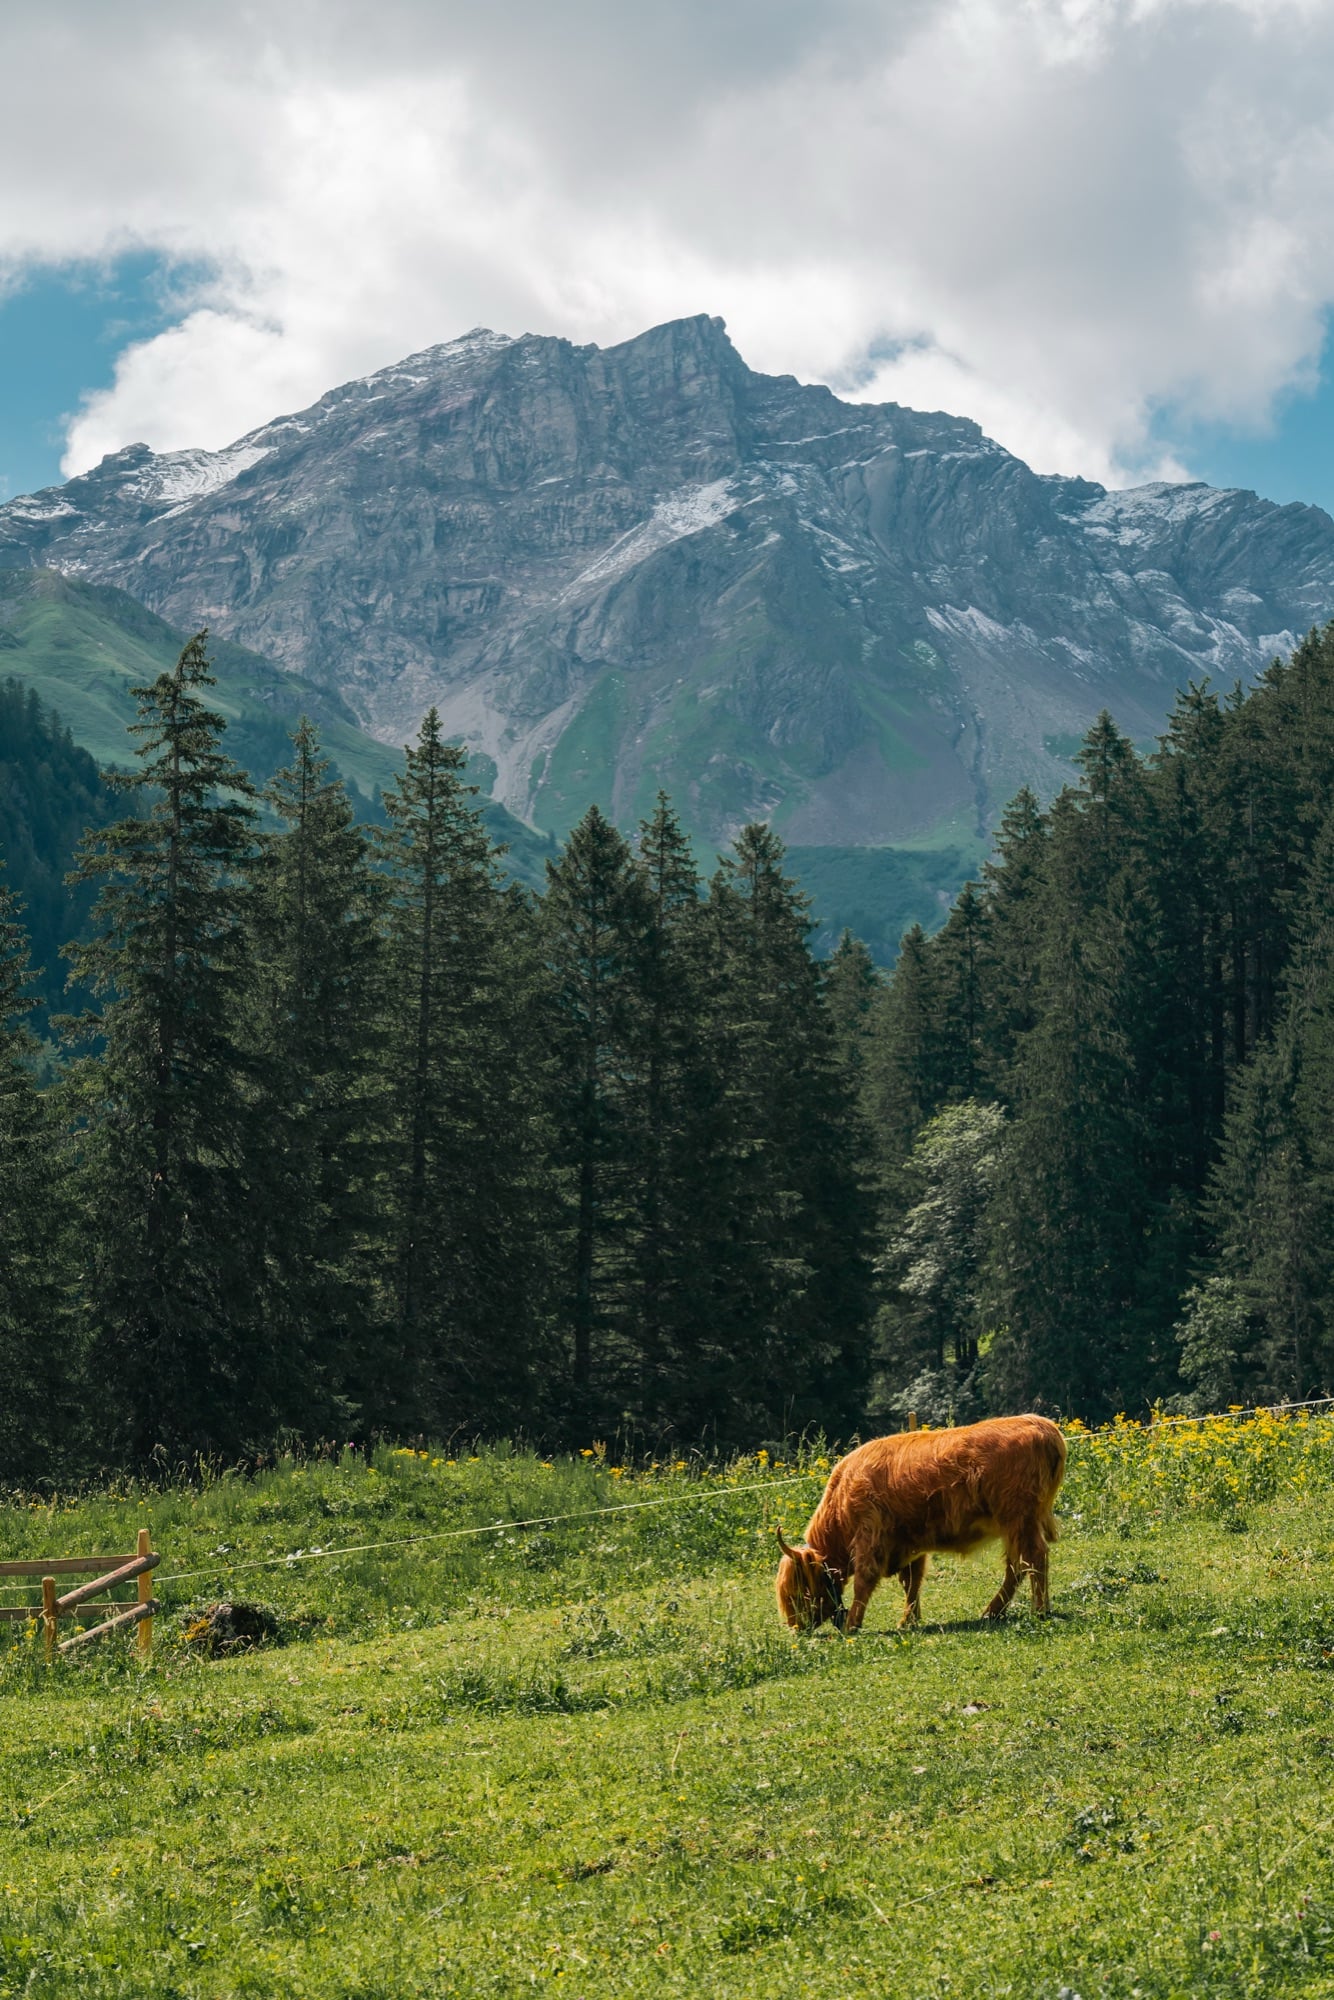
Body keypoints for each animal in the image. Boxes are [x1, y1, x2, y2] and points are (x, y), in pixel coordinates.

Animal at [774, 1414, 1066, 1633]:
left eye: (799, 1592)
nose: (796, 1628)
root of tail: (1041, 1425)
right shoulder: (909, 1545)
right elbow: (911, 1583)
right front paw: (908, 1621)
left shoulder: (870, 1537)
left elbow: (864, 1581)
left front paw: (851, 1625)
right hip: (1015, 1526)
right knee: (1017, 1565)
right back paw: (991, 1612)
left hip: (1020, 1520)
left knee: (1034, 1558)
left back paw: (1039, 1610)